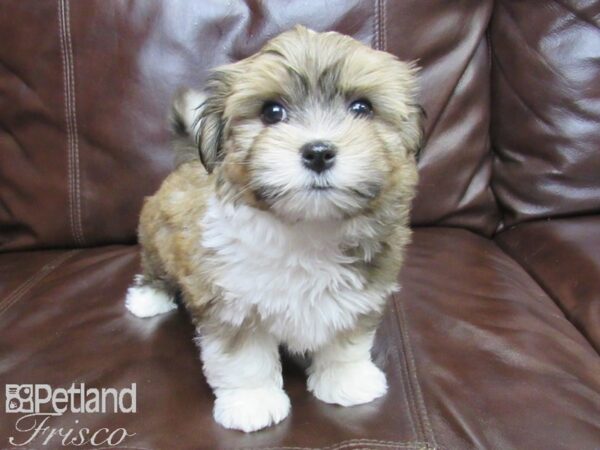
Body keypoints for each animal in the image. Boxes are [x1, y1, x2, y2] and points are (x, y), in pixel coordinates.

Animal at [125, 25, 422, 432]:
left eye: (362, 108)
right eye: (272, 112)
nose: (318, 152)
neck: (308, 228)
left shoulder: (362, 290)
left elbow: (347, 339)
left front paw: (347, 379)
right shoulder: (230, 302)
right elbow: (243, 358)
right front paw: (252, 402)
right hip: (156, 238)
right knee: (156, 269)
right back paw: (148, 298)